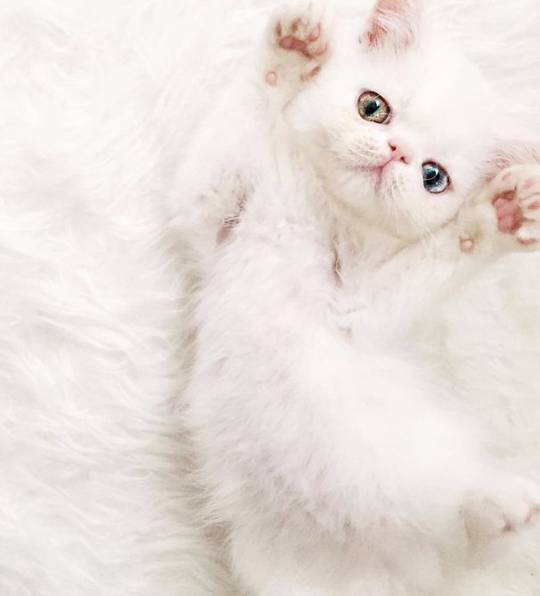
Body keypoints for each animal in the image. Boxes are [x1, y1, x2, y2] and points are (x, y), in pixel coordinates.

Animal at [171, 1, 540, 594]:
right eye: (373, 108)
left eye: (433, 177)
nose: (395, 152)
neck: (327, 211)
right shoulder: (211, 213)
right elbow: (243, 119)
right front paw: (291, 54)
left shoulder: (359, 317)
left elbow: (434, 258)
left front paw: (490, 220)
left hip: (418, 459)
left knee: (456, 515)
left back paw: (499, 499)